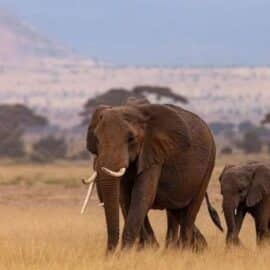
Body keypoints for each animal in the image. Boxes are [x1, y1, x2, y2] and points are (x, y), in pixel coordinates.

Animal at [85, 100, 223, 251]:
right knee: (175, 211)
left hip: (210, 162)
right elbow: (126, 198)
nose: (109, 253)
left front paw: (127, 252)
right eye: (97, 139)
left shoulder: (154, 153)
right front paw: (146, 249)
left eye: (131, 139)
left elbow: (142, 196)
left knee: (190, 211)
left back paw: (184, 250)